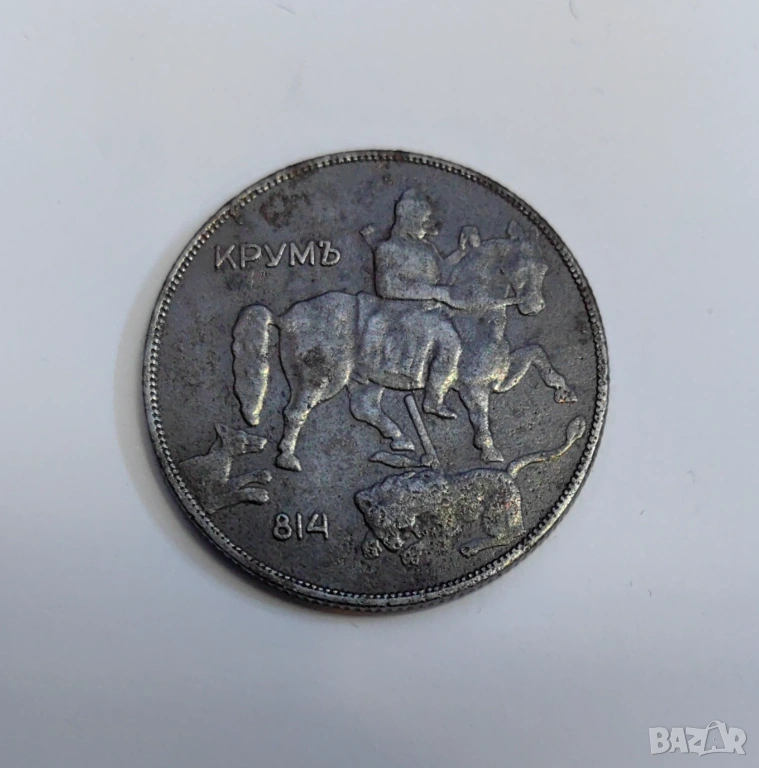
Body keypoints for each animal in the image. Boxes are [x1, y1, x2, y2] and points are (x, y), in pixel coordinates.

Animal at [231, 228, 576, 471]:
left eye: (543, 267)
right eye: (519, 266)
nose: (535, 307)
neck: (477, 317)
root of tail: (285, 316)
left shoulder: (499, 378)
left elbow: (536, 353)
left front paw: (563, 390)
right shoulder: (473, 386)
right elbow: (481, 416)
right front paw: (489, 451)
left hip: (364, 381)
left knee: (363, 408)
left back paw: (401, 439)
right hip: (322, 378)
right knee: (296, 411)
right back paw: (288, 459)